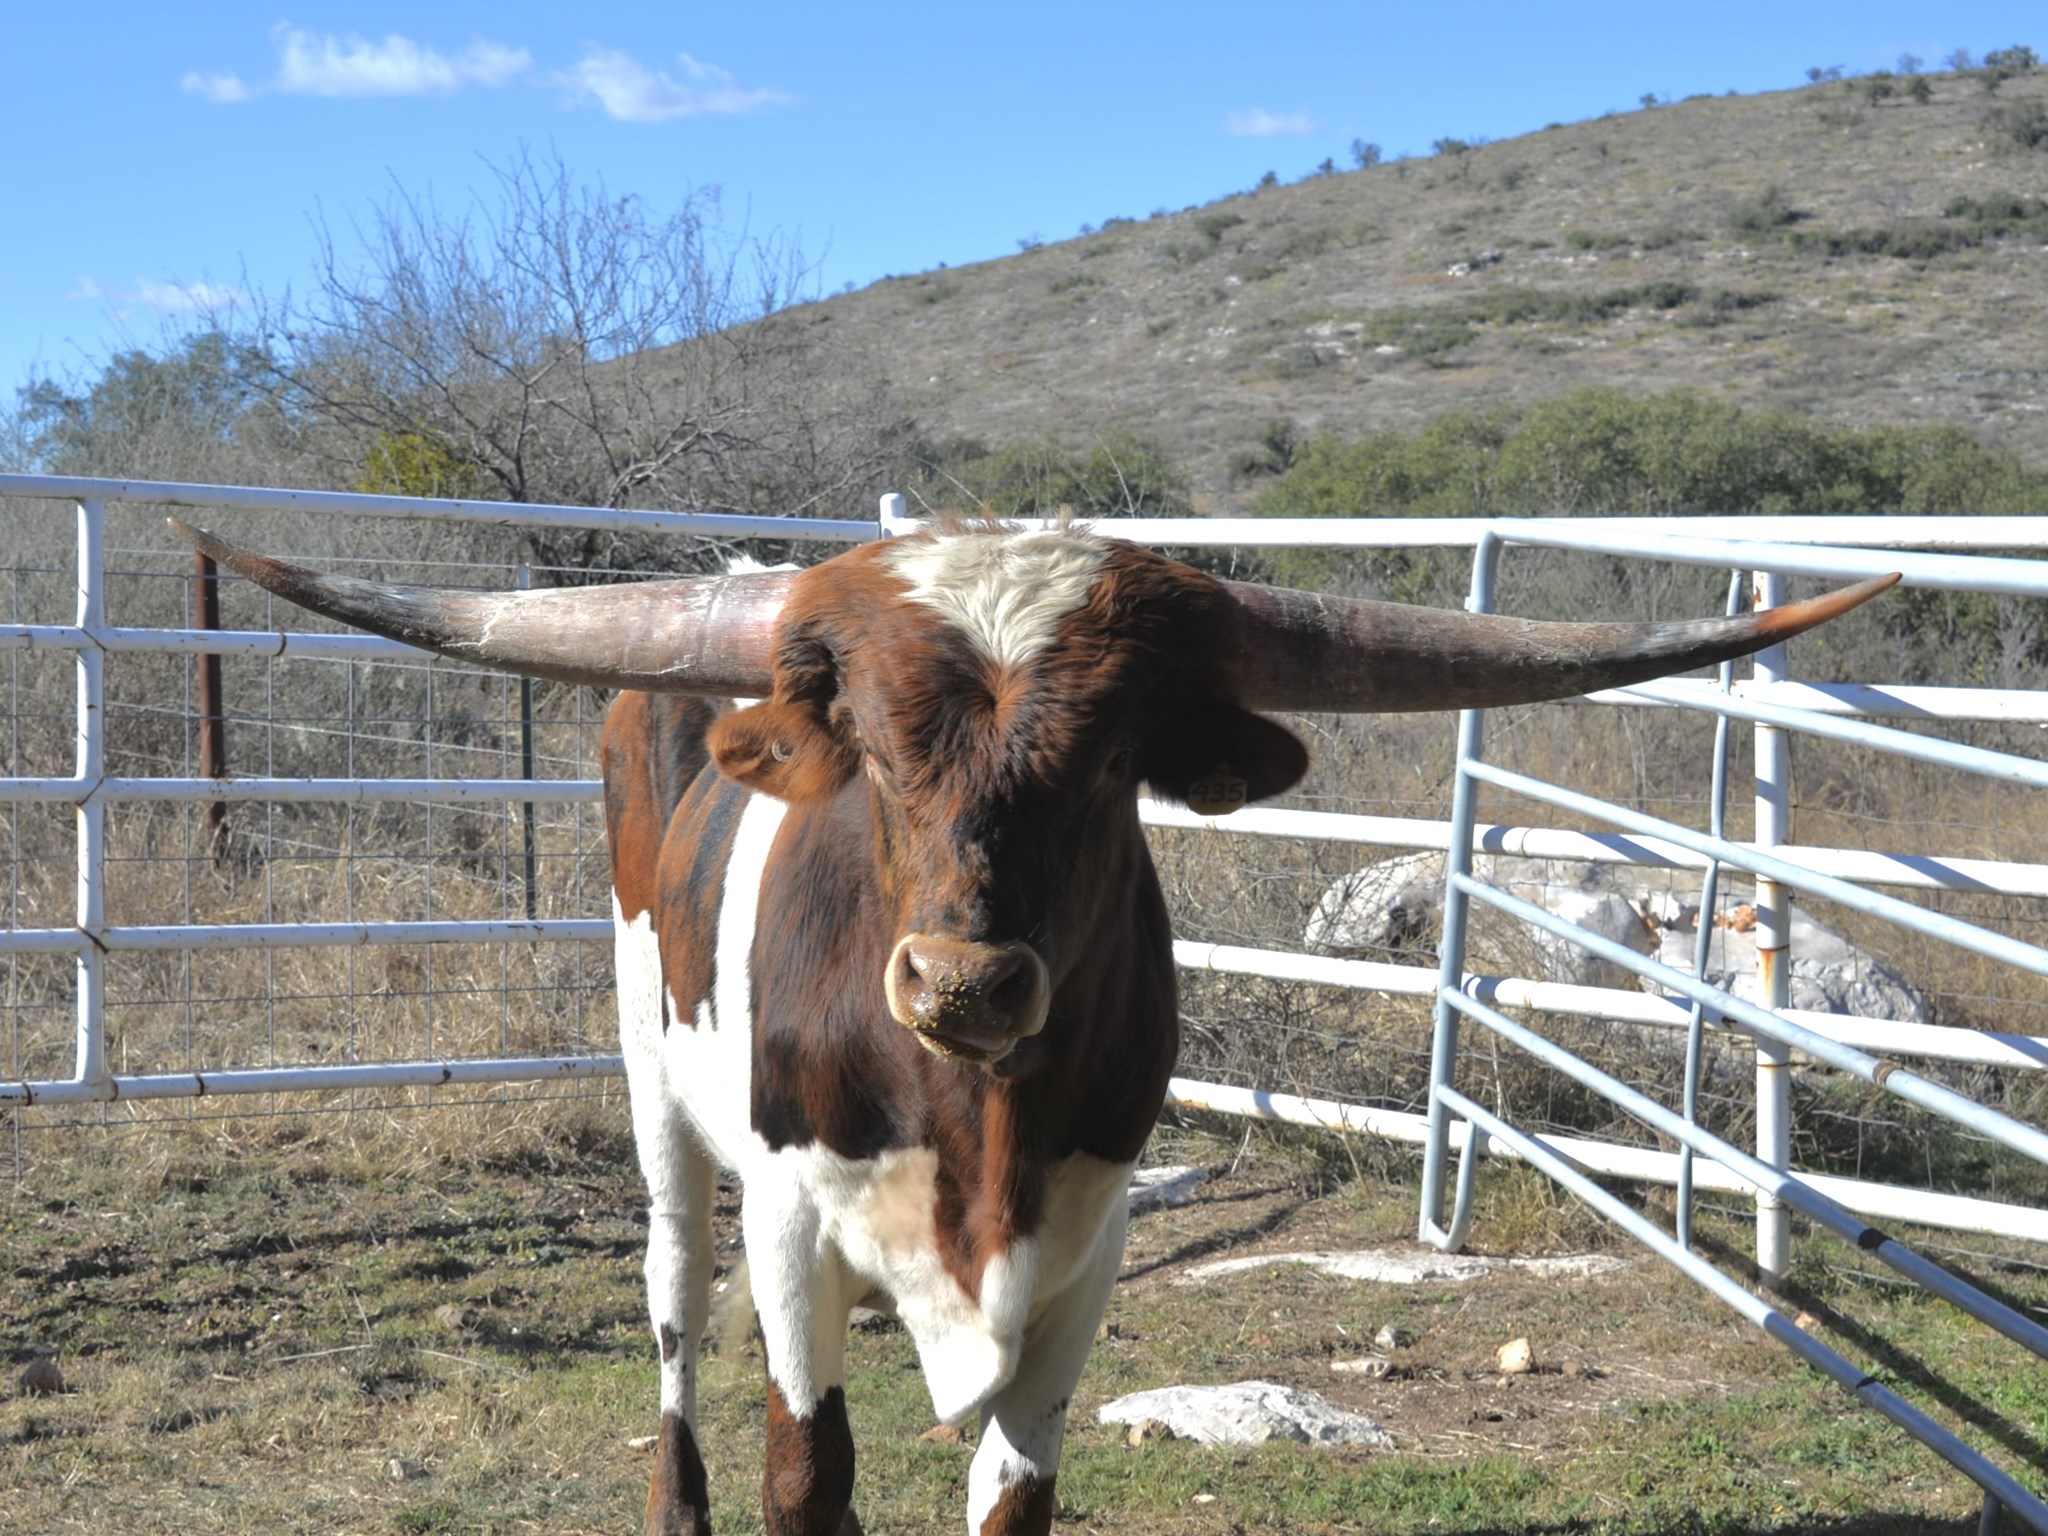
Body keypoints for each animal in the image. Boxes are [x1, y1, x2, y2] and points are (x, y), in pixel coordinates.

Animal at [171, 517, 1892, 1536]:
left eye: (1116, 754)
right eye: (865, 746)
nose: (964, 985)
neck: (968, 1127)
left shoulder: (1087, 1241)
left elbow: (1012, 1494)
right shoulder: (792, 1220)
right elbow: (809, 1470)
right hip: (654, 1083)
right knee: (671, 1305)